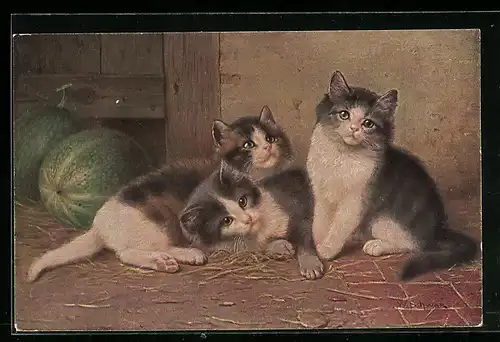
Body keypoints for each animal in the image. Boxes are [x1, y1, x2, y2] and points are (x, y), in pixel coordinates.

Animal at [26, 105, 292, 282]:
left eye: (270, 138)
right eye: (248, 145)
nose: (268, 147)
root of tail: (99, 224)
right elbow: (249, 241)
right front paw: (275, 245)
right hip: (161, 224)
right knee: (129, 253)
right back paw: (175, 257)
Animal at [180, 160, 324, 280]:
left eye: (242, 201)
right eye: (226, 220)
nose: (248, 219)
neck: (260, 231)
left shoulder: (296, 207)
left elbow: (305, 233)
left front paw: (310, 264)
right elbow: (261, 248)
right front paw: (280, 246)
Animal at [306, 70, 478, 280]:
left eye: (368, 123)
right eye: (344, 114)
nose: (354, 129)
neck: (342, 154)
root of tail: (439, 228)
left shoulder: (355, 201)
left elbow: (339, 226)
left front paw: (327, 249)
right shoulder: (321, 193)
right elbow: (319, 221)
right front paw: (316, 243)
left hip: (382, 221)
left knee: (414, 245)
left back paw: (376, 245)